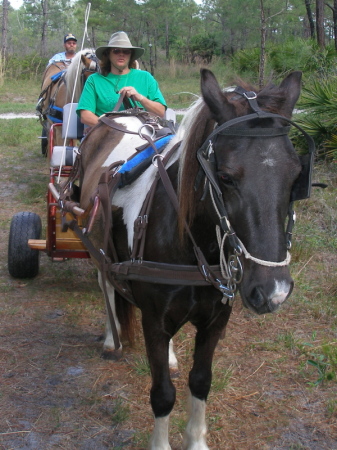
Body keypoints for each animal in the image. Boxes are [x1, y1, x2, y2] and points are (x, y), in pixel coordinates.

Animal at [76, 68, 304, 448]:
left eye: (296, 174)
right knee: (105, 281)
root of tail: (123, 115)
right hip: (97, 244)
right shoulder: (154, 321)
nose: (274, 290)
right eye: (225, 176)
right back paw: (111, 338)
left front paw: (196, 440)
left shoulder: (215, 321)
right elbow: (162, 395)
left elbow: (200, 381)